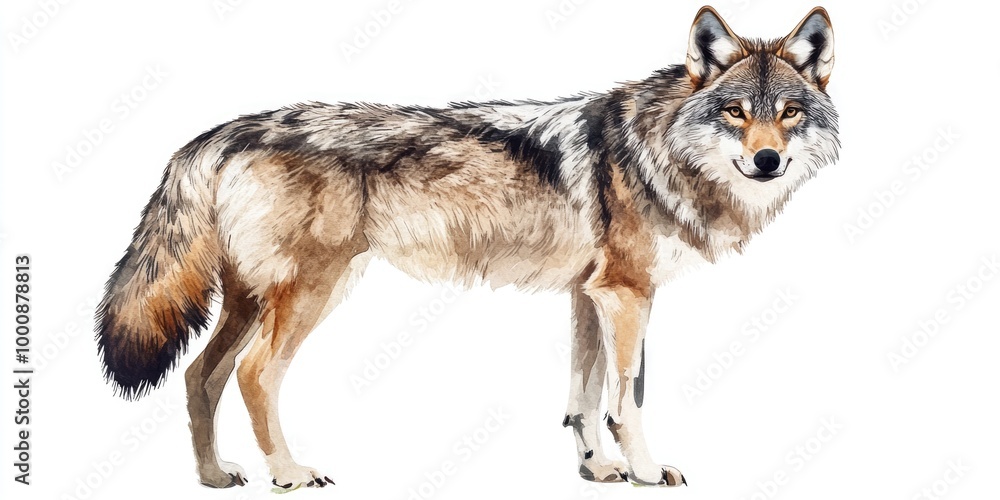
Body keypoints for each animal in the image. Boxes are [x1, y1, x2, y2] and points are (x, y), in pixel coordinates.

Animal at [95, 6, 838, 489]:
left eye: (789, 113)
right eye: (736, 112)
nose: (768, 161)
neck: (657, 150)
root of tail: (224, 131)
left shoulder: (589, 295)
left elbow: (583, 394)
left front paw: (598, 468)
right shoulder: (627, 296)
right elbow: (628, 398)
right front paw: (649, 471)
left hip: (254, 300)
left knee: (200, 375)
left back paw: (215, 476)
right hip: (311, 294)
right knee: (253, 375)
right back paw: (289, 473)